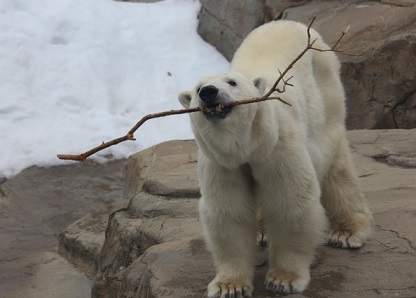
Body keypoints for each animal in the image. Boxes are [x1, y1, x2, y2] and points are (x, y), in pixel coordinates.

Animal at [177, 20, 372, 296]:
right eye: (196, 89)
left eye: (232, 82)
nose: (209, 91)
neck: (248, 145)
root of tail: (291, 23)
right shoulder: (221, 163)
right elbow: (229, 212)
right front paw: (230, 286)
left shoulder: (278, 146)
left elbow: (290, 202)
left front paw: (283, 279)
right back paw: (262, 232)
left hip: (326, 98)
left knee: (335, 167)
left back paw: (347, 232)